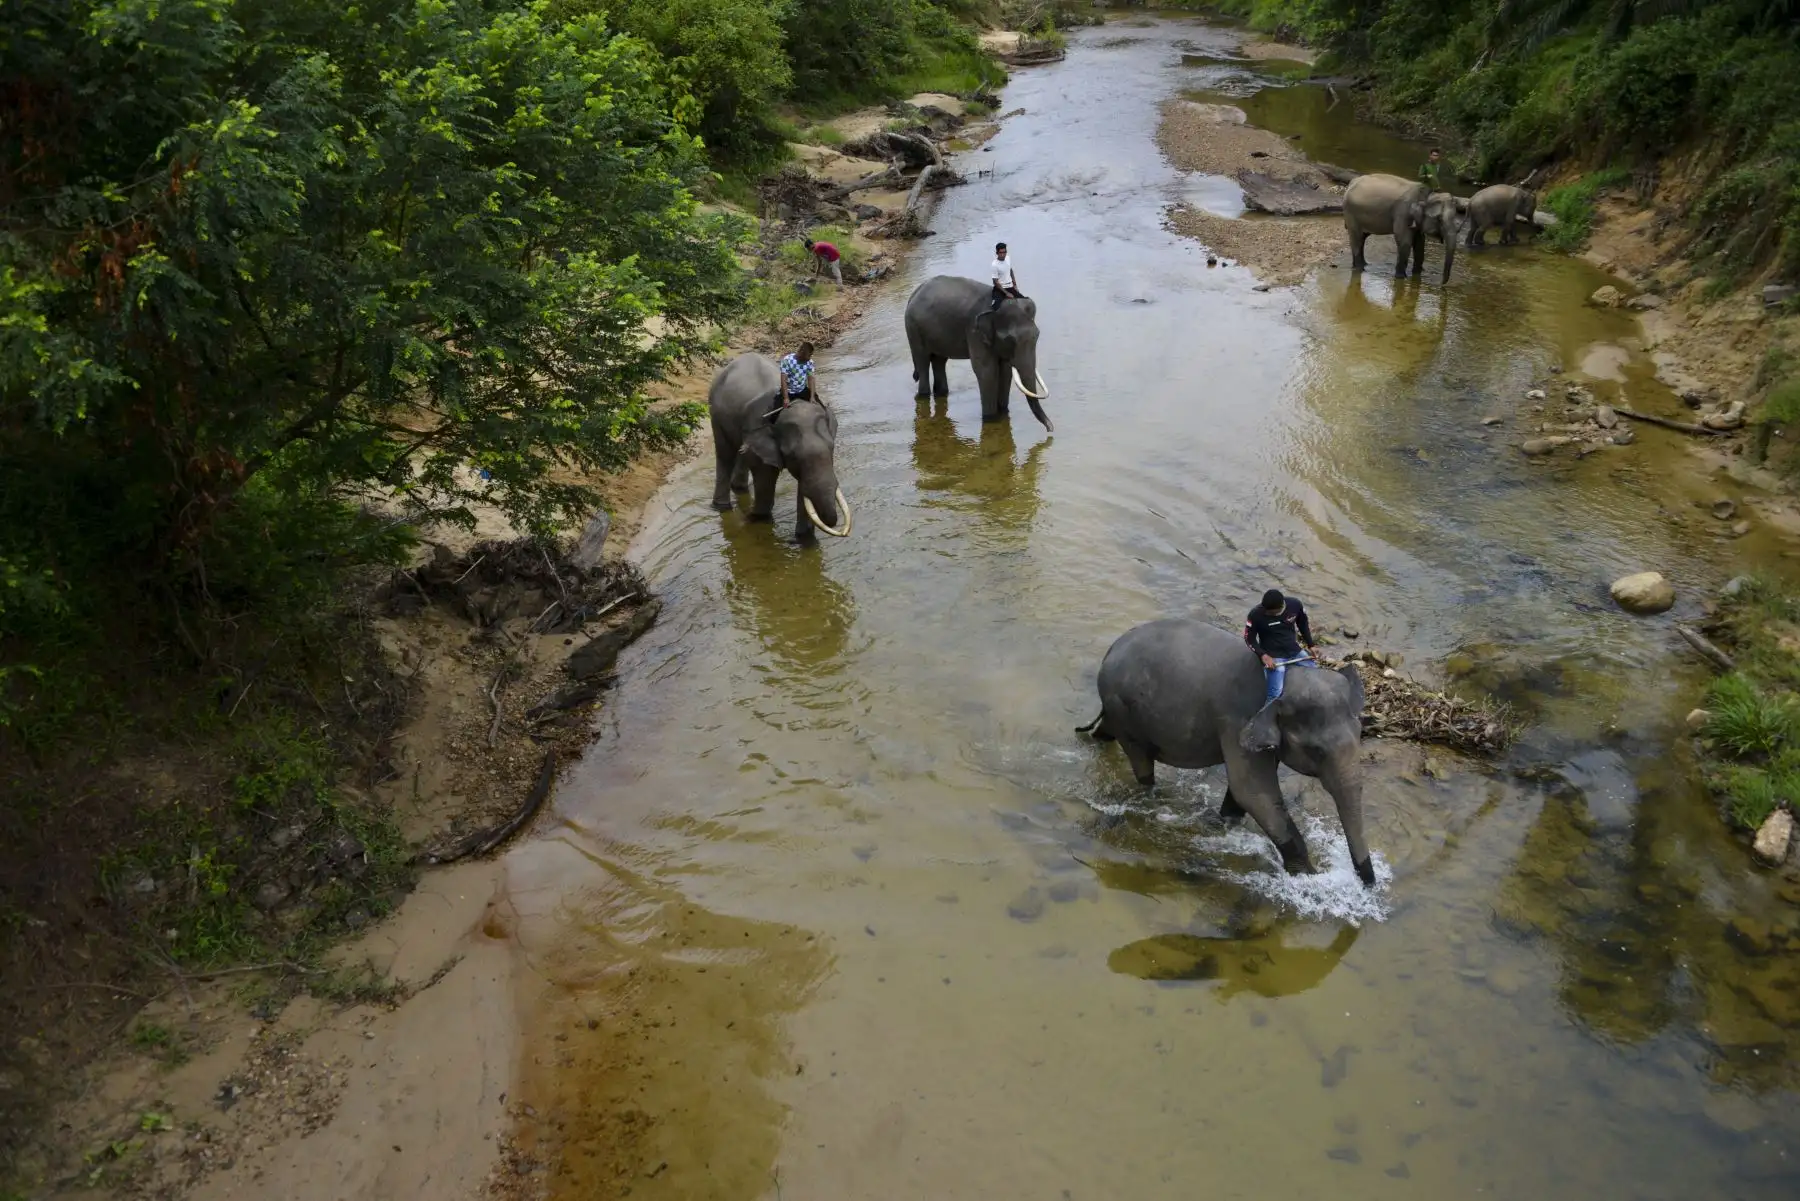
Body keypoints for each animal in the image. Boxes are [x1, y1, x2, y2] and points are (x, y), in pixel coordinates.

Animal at [708, 352, 852, 541]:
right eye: (792, 455)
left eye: (832, 448)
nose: (836, 526)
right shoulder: (759, 433)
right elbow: (765, 476)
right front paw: (757, 519)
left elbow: (804, 488)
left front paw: (804, 540)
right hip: (715, 413)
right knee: (725, 453)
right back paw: (722, 507)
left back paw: (739, 489)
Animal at [904, 275, 1053, 432]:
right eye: (1010, 340)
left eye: (1037, 335)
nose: (1050, 429)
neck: (994, 307)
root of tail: (914, 293)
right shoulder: (974, 332)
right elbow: (987, 372)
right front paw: (990, 419)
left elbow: (1005, 371)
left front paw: (1003, 412)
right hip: (913, 329)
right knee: (923, 362)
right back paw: (924, 394)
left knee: (939, 360)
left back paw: (941, 393)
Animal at [1077, 618, 1376, 887]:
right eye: (1316, 751)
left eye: (1360, 734)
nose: (1368, 885)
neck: (1287, 678)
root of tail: (1111, 648)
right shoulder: (1236, 720)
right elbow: (1253, 791)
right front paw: (1309, 879)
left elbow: (1245, 792)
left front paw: (1227, 823)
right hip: (1123, 706)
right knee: (1141, 762)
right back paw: (1151, 797)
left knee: (1110, 731)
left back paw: (1095, 740)